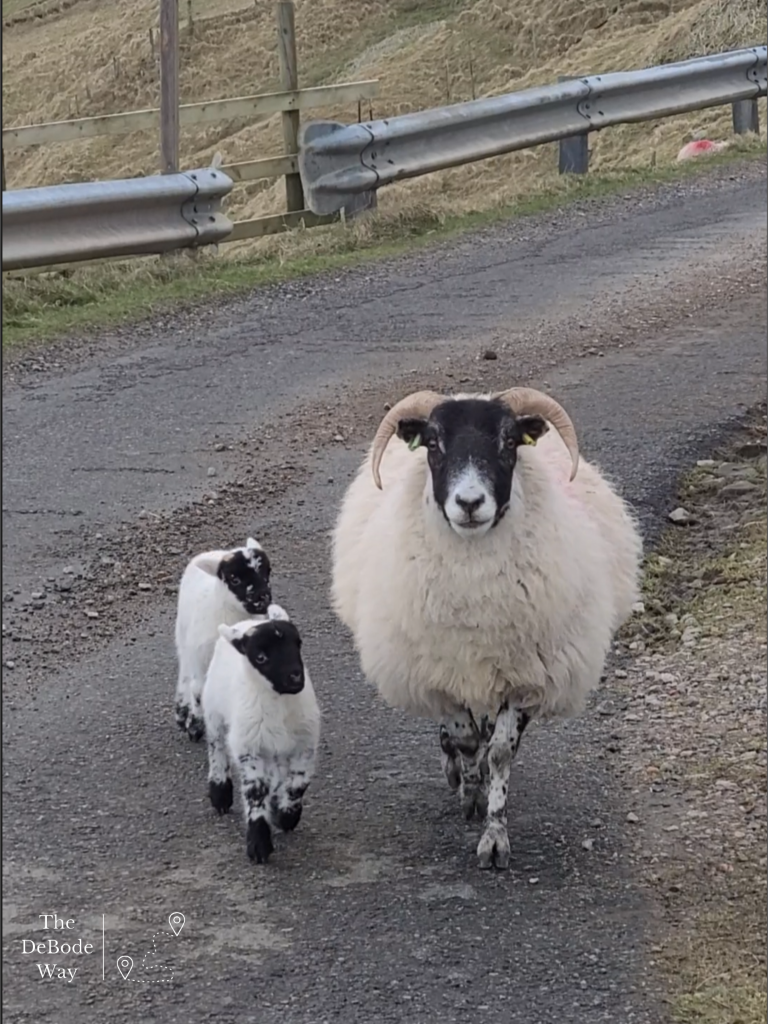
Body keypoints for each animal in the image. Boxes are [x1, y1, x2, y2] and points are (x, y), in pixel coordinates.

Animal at [174, 537, 272, 741]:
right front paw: (194, 726)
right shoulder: (199, 657)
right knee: (184, 670)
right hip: (183, 635)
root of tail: (213, 552)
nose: (263, 598)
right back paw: (181, 710)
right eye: (234, 579)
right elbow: (197, 691)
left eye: (268, 571)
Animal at [202, 604, 321, 864]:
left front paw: (286, 816)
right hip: (214, 711)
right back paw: (220, 792)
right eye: (261, 657)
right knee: (216, 747)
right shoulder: (248, 748)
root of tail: (243, 624)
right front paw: (259, 844)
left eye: (298, 644)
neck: (279, 705)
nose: (295, 677)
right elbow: (256, 791)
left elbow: (298, 784)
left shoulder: (305, 744)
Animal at [330, 386, 643, 870]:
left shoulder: (527, 676)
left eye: (509, 441)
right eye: (434, 443)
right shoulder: (440, 672)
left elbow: (499, 750)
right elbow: (465, 739)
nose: (470, 503)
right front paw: (470, 793)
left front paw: (494, 834)